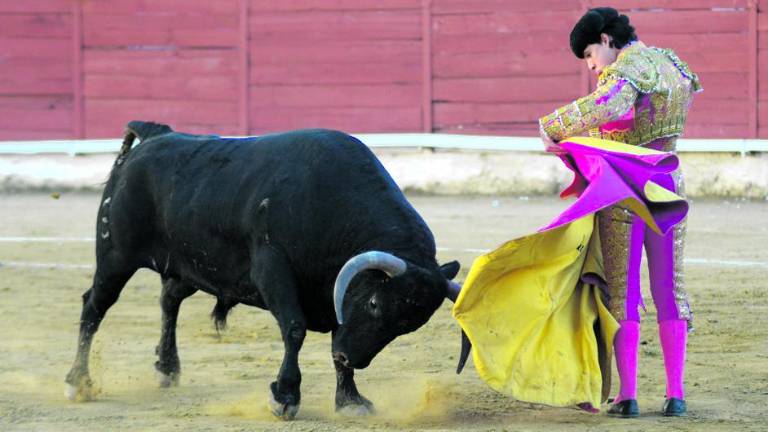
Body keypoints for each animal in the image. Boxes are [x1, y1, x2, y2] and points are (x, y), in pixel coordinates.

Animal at [63, 121, 462, 418]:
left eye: (408, 325)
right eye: (376, 304)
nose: (350, 357)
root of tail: (155, 135)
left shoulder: (335, 291)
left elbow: (335, 331)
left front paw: (350, 400)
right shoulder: (272, 269)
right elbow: (295, 329)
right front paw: (285, 397)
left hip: (191, 266)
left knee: (169, 300)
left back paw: (167, 368)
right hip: (115, 256)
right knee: (94, 306)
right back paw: (78, 382)